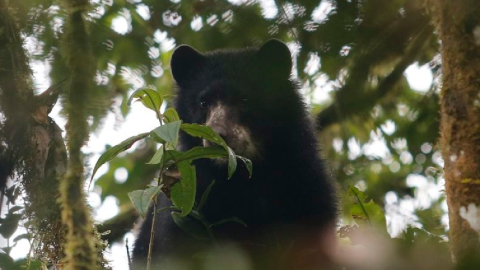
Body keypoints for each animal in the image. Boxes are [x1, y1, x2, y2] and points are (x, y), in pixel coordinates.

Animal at [132, 40, 338, 270]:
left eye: (245, 99)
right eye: (203, 103)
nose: (217, 135)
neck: (245, 178)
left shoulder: (307, 185)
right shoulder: (189, 204)